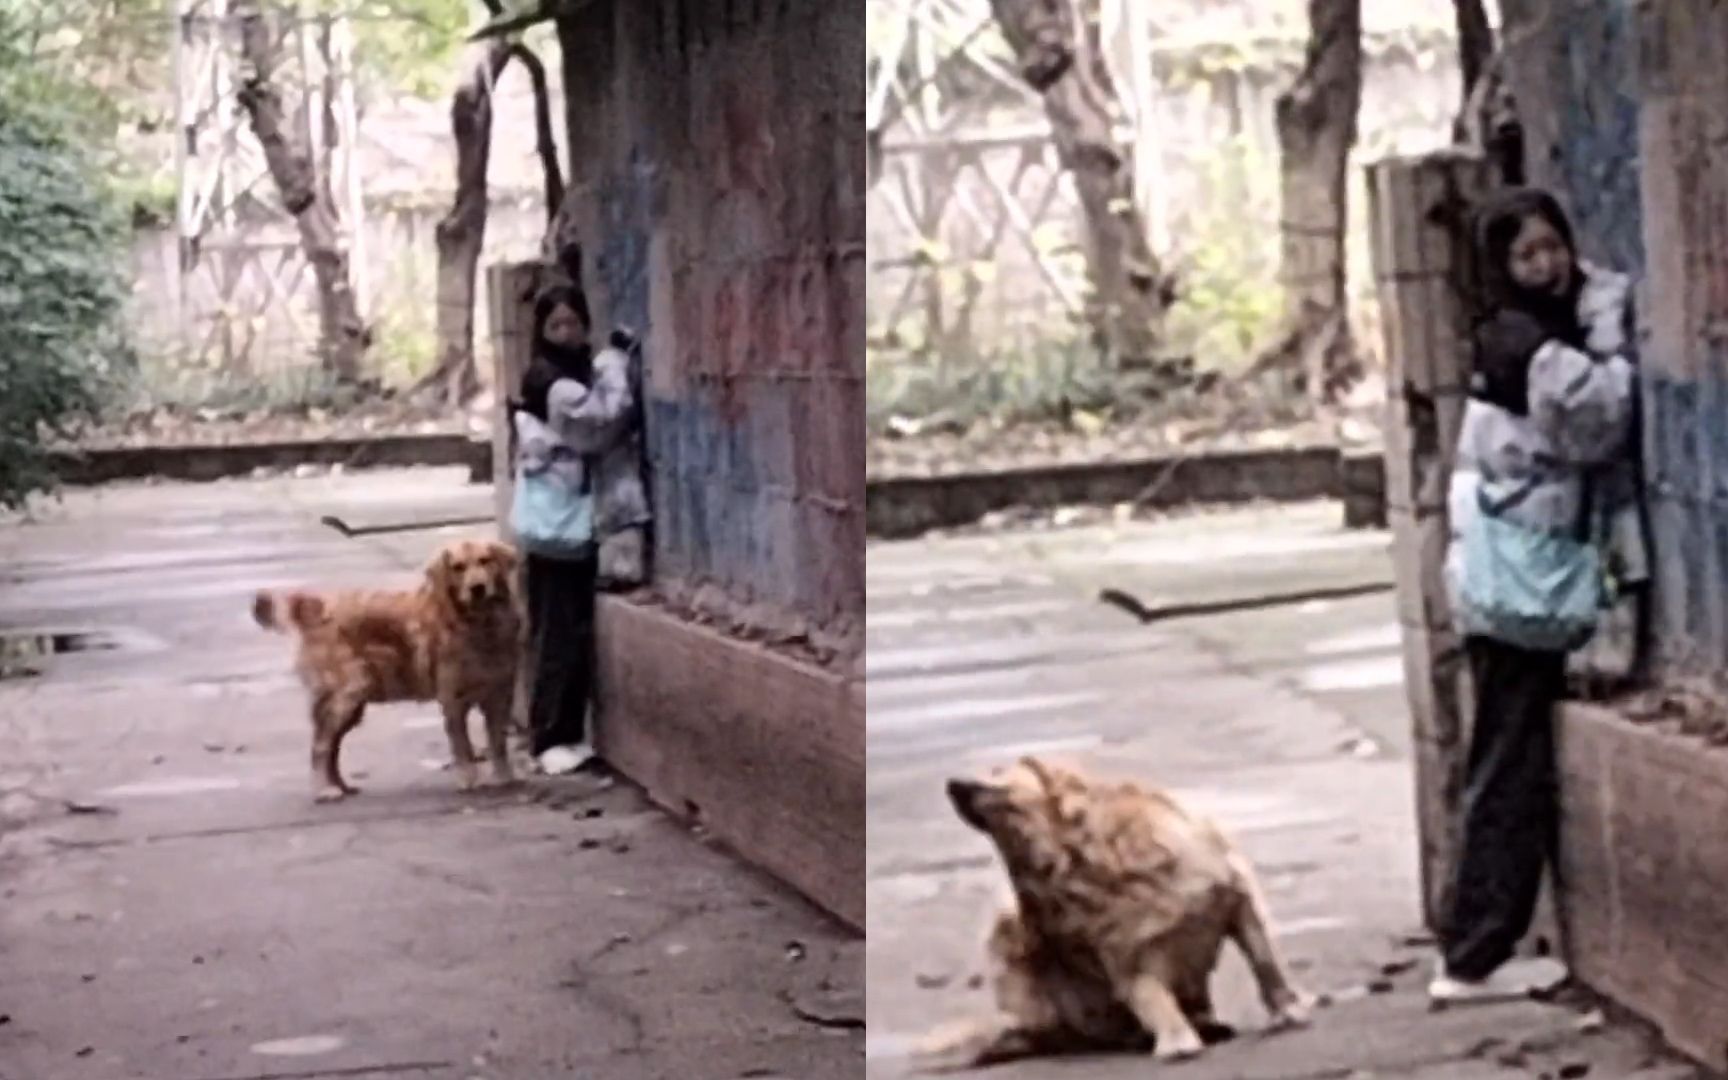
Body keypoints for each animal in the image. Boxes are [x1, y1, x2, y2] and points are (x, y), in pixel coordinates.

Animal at [250, 539, 518, 801]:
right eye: (458, 567)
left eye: (485, 561)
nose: (478, 587)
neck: (480, 624)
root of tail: (318, 608)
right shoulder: (452, 701)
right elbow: (463, 747)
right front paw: (468, 780)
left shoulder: (499, 697)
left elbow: (498, 743)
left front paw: (504, 777)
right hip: (345, 697)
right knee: (321, 746)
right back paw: (325, 790)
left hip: (353, 705)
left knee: (333, 748)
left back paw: (342, 786)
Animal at [940, 753, 1313, 1064]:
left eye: (996, 770)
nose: (951, 785)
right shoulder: (1127, 959)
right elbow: (1150, 995)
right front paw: (1175, 1038)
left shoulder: (1239, 894)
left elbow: (1265, 961)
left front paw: (1289, 1007)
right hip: (1008, 932)